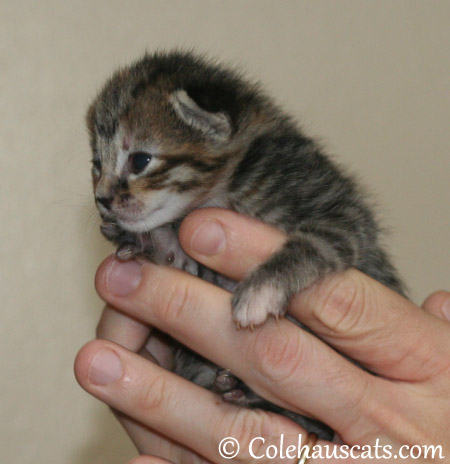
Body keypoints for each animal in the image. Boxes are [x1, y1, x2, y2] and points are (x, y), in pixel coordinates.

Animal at [86, 50, 406, 438]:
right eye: (96, 164)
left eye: (140, 160)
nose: (102, 199)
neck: (226, 185)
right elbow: (178, 261)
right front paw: (155, 240)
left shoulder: (343, 215)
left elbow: (314, 244)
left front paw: (261, 289)